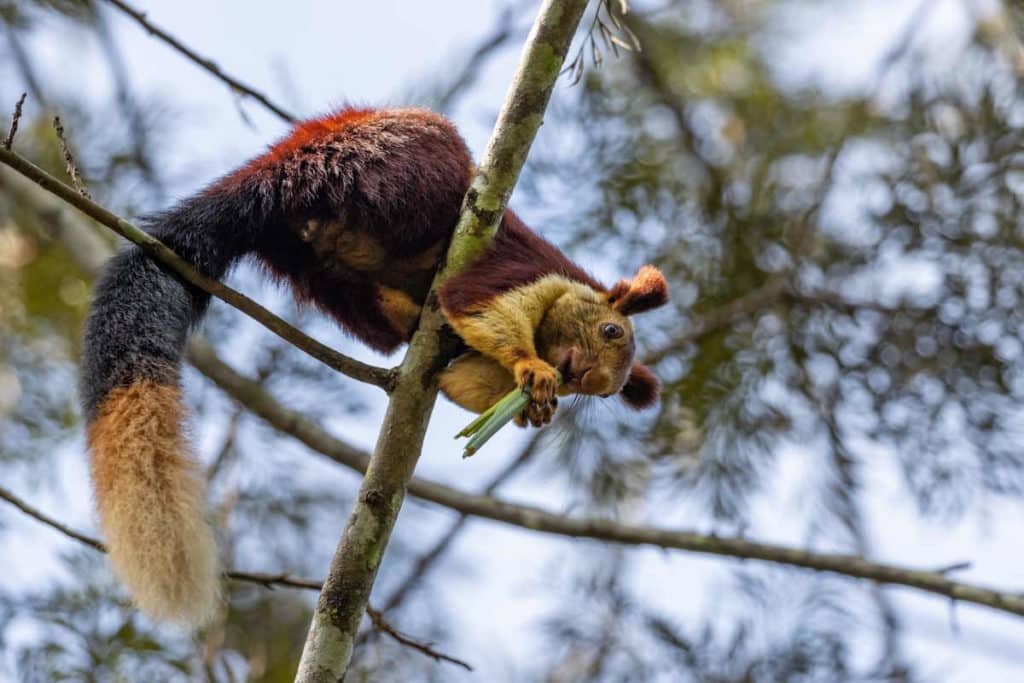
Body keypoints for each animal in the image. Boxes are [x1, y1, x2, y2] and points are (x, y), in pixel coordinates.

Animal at [80, 106, 669, 627]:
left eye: (601, 394)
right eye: (611, 332)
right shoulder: (519, 271)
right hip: (394, 165)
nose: (583, 377)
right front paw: (530, 369)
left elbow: (459, 377)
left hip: (318, 269)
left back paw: (399, 307)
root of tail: (274, 173)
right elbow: (475, 306)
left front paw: (526, 408)